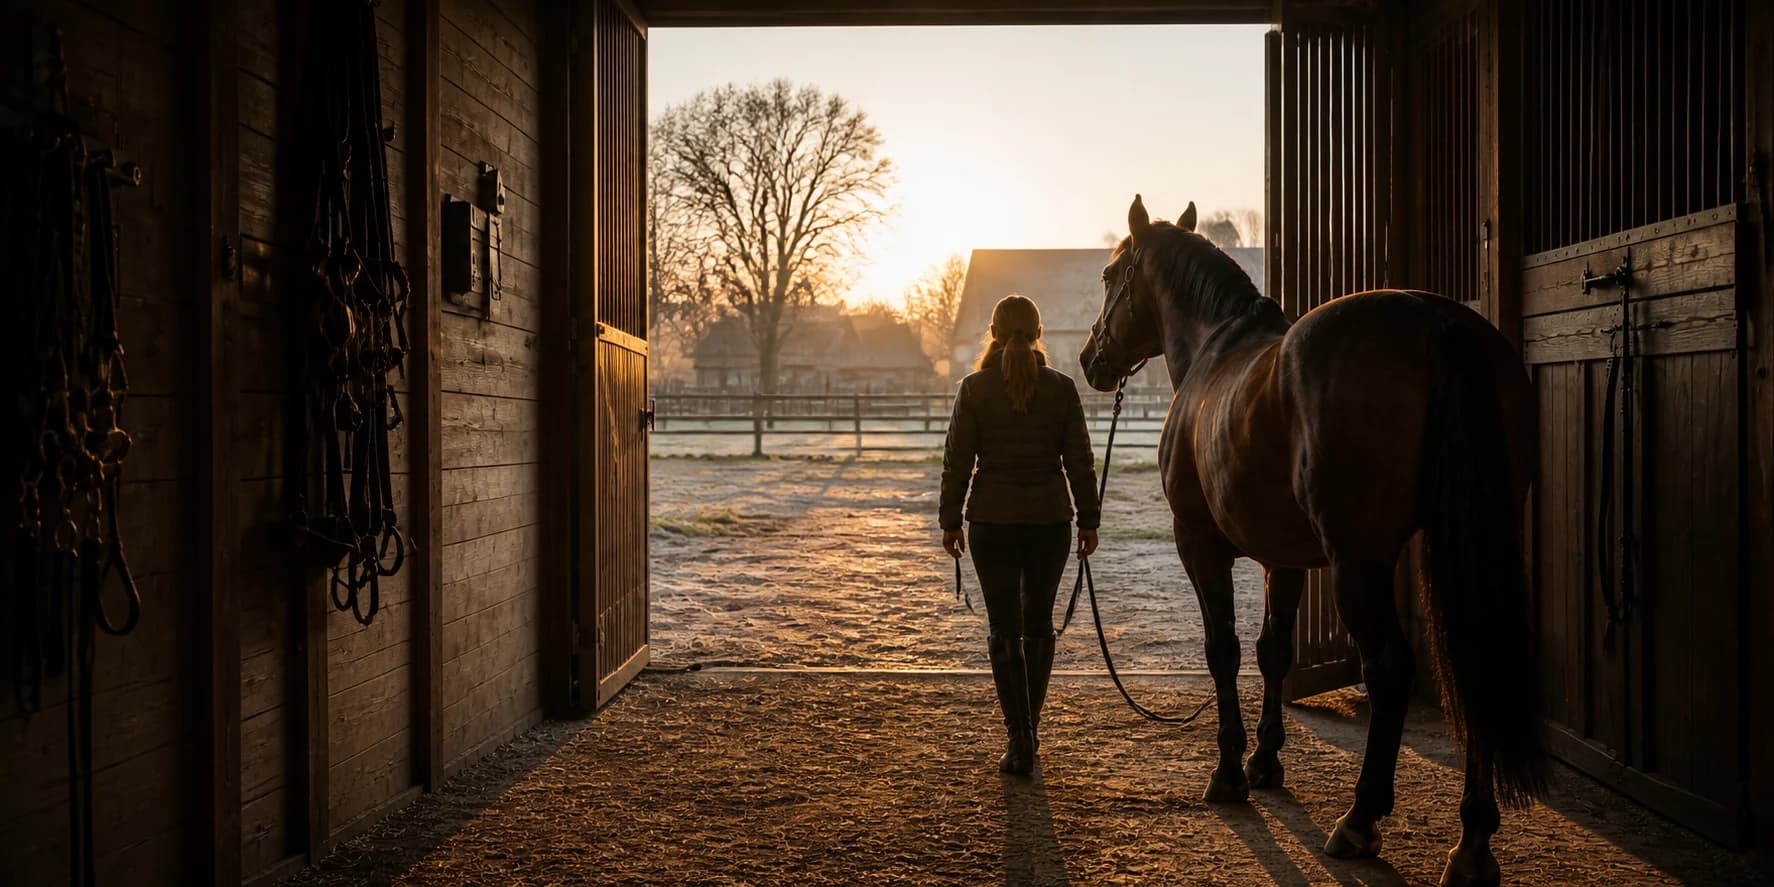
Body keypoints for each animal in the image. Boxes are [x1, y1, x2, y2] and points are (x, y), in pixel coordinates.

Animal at [1079, 195, 1546, 887]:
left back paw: (1359, 820)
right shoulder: (1285, 558)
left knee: (1389, 668)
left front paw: (1228, 773)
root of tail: (1438, 321)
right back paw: (1472, 844)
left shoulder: (1200, 544)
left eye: (1111, 276)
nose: (1091, 360)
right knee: (1475, 662)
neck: (1214, 353)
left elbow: (1224, 650)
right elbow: (1274, 651)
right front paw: (1265, 763)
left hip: (1359, 563)